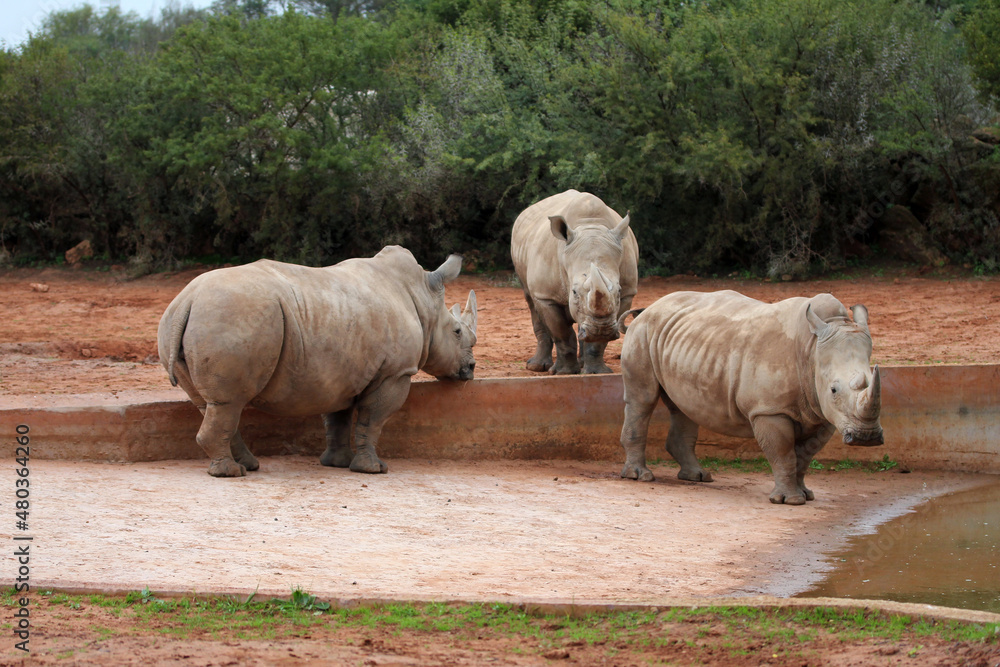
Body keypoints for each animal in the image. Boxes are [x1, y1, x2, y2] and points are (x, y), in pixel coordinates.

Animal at [157, 246, 477, 477]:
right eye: (457, 332)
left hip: (181, 320)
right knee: (229, 403)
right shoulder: (395, 373)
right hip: (231, 316)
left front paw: (338, 463)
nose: (471, 369)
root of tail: (188, 300)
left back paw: (247, 465)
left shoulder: (341, 372)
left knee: (214, 405)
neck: (423, 300)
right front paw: (373, 469)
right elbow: (373, 419)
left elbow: (338, 418)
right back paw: (230, 473)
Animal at [511, 190, 639, 374]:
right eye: (574, 292)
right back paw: (537, 367)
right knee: (531, 302)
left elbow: (597, 342)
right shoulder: (546, 296)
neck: (590, 227)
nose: (601, 330)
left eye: (619, 290)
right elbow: (562, 332)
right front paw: (564, 372)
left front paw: (596, 372)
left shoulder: (628, 293)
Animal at [618, 291, 883, 504]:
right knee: (643, 399)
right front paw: (789, 500)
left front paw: (806, 494)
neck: (811, 350)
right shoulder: (769, 409)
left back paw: (698, 477)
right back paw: (640, 476)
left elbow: (805, 455)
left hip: (680, 342)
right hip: (643, 333)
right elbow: (783, 453)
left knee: (683, 406)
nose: (866, 437)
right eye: (834, 390)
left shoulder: (822, 413)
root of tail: (647, 309)